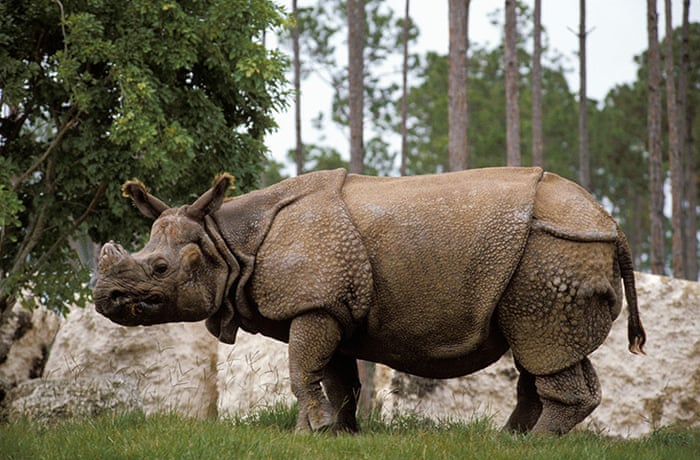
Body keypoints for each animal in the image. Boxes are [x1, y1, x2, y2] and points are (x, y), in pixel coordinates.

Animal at [94, 167, 645, 434]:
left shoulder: (313, 303)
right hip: (555, 252)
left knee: (541, 344)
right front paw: (333, 434)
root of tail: (610, 222)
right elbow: (334, 378)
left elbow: (302, 371)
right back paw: (508, 441)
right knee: (546, 348)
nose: (104, 298)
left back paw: (529, 444)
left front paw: (311, 433)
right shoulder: (330, 307)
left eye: (159, 269)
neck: (227, 240)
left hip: (553, 248)